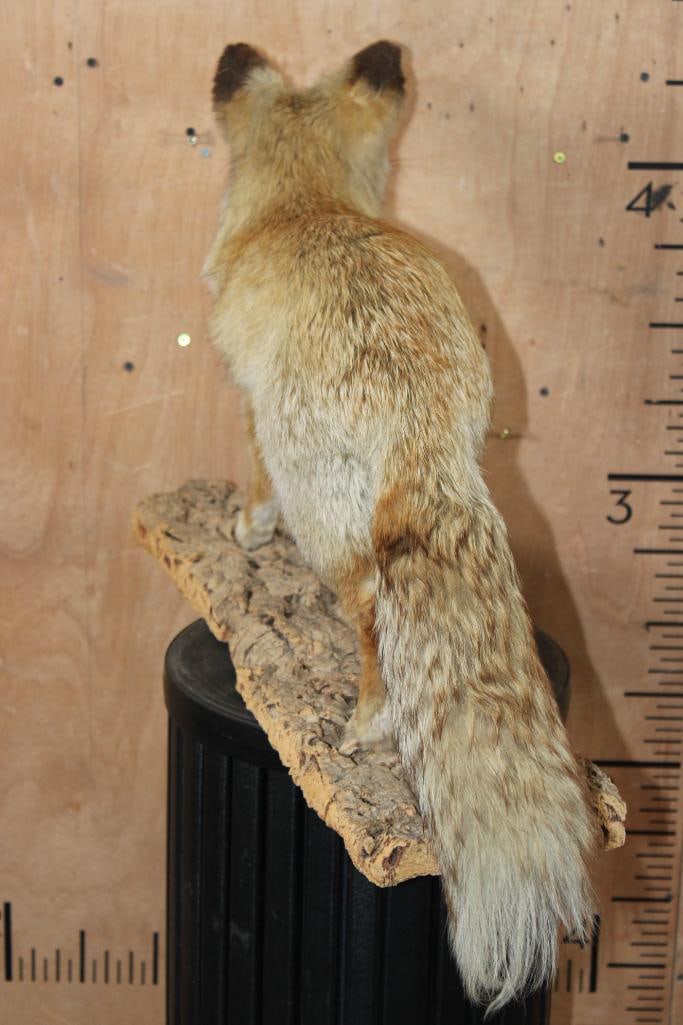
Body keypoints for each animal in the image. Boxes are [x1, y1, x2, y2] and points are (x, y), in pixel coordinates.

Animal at [203, 40, 597, 1014]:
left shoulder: (250, 412)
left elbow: (253, 490)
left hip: (329, 524)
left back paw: (366, 721)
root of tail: (416, 411)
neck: (307, 204)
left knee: (372, 621)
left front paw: (244, 531)